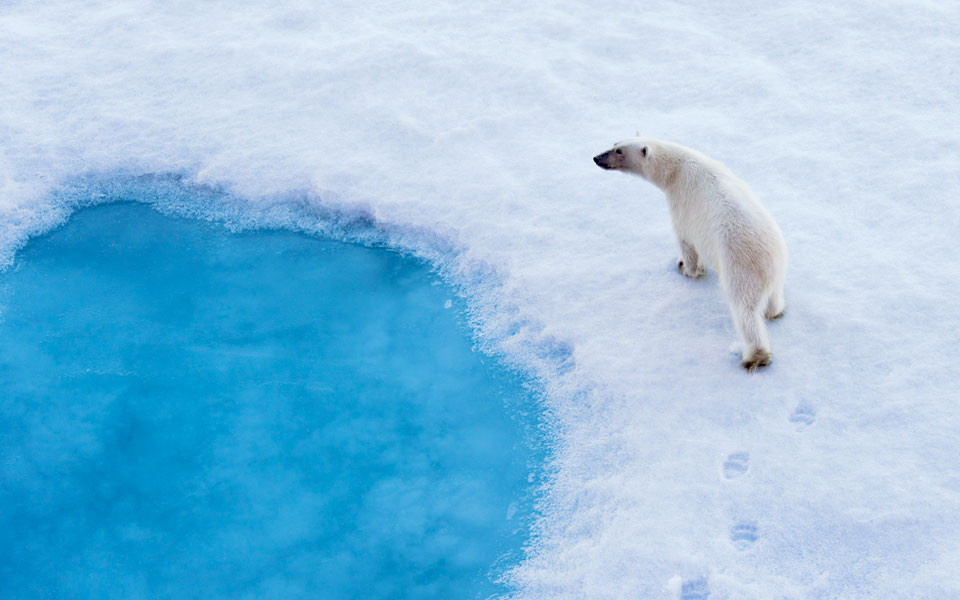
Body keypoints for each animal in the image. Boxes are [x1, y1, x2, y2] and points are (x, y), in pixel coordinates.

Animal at [593, 137, 787, 371]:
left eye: (619, 151)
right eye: (615, 143)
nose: (597, 158)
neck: (676, 168)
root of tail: (770, 260)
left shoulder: (681, 202)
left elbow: (685, 240)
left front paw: (685, 268)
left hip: (740, 268)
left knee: (744, 311)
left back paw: (755, 357)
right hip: (777, 269)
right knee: (773, 297)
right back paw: (774, 312)